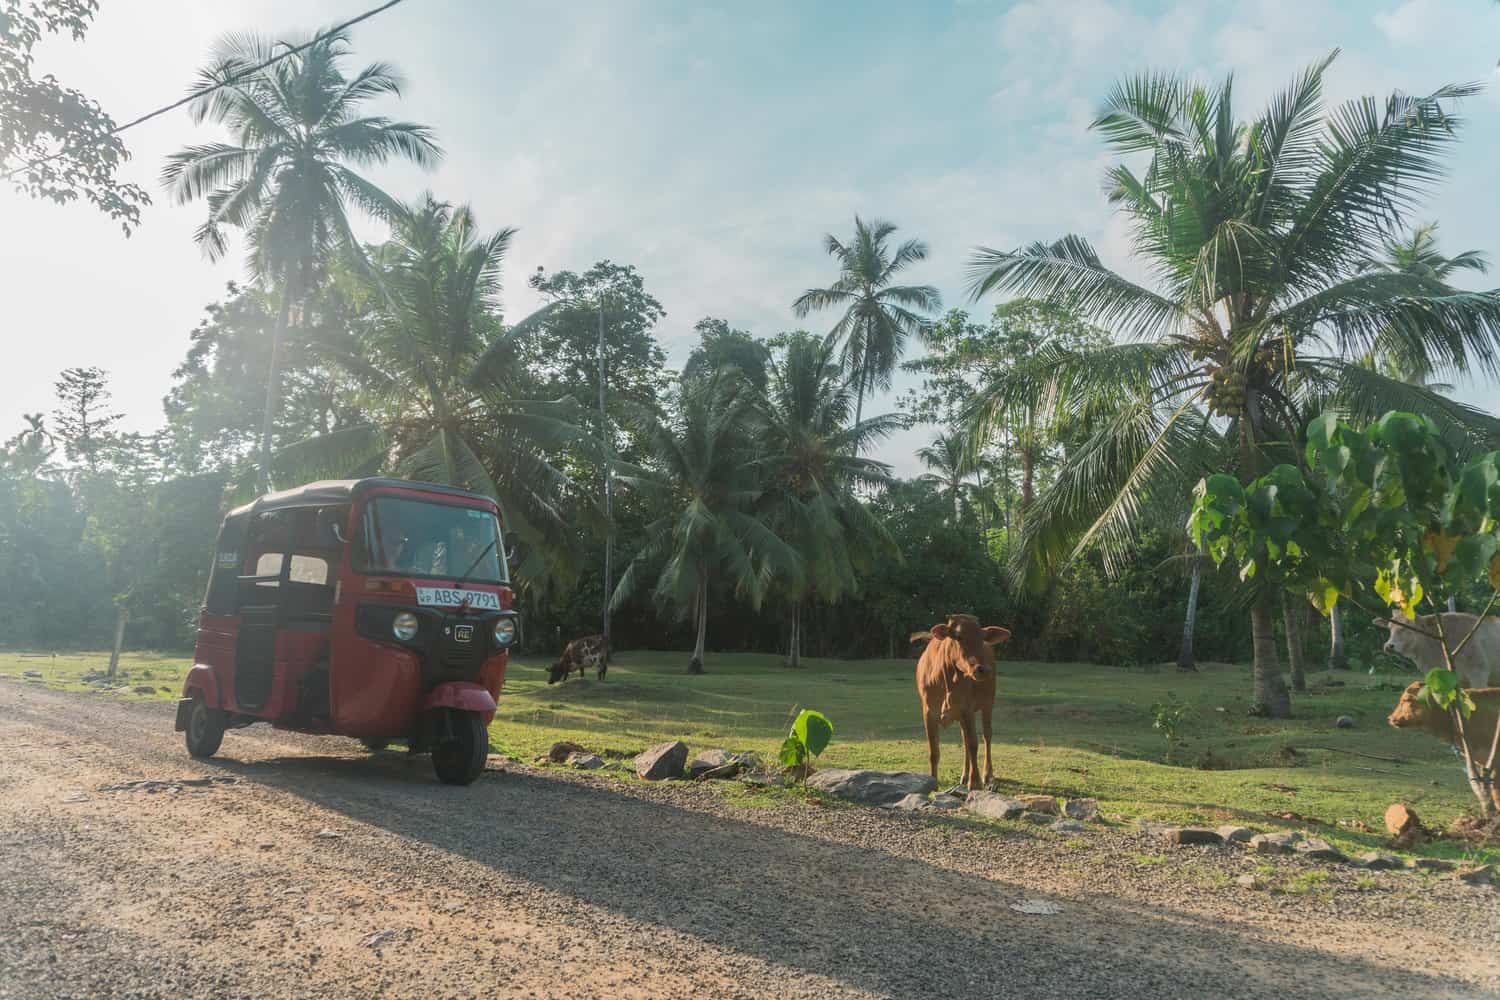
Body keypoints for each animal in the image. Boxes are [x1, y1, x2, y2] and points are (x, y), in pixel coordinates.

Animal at [912, 614, 1008, 791]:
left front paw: (975, 782)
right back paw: (964, 775)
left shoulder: (967, 709)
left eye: (982, 637)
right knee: (964, 738)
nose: (983, 669)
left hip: (988, 703)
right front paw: (933, 782)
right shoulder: (928, 712)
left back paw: (987, 776)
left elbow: (973, 743)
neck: (947, 681)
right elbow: (934, 750)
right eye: (957, 636)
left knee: (987, 735)